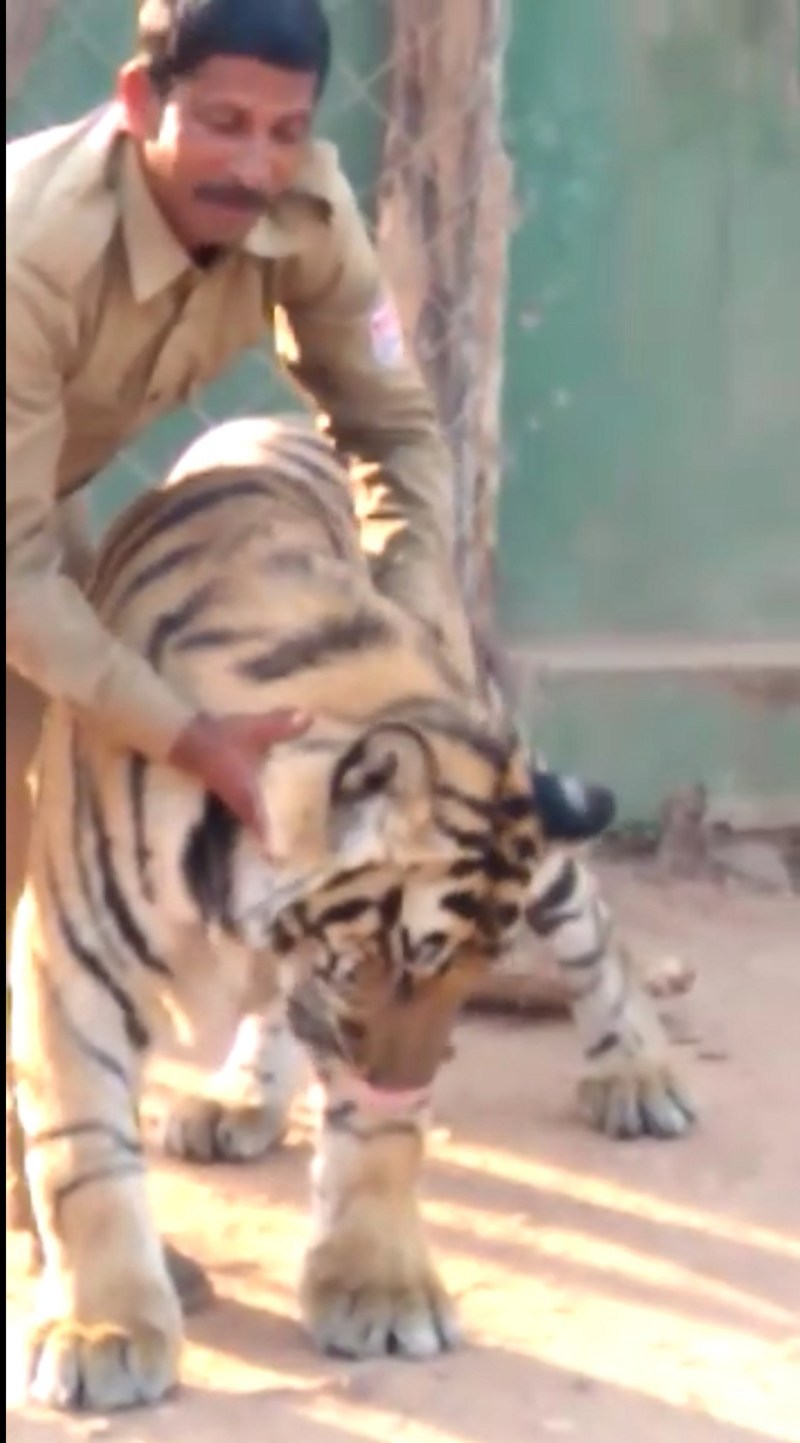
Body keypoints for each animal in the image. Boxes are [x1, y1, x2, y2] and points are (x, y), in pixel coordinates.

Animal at [8, 415, 695, 1414]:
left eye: (467, 973)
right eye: (400, 960)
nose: (404, 1080)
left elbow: (379, 1143)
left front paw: (380, 1291)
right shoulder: (72, 960)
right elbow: (84, 1156)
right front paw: (103, 1330)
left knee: (592, 921)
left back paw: (637, 1073)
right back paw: (239, 1099)